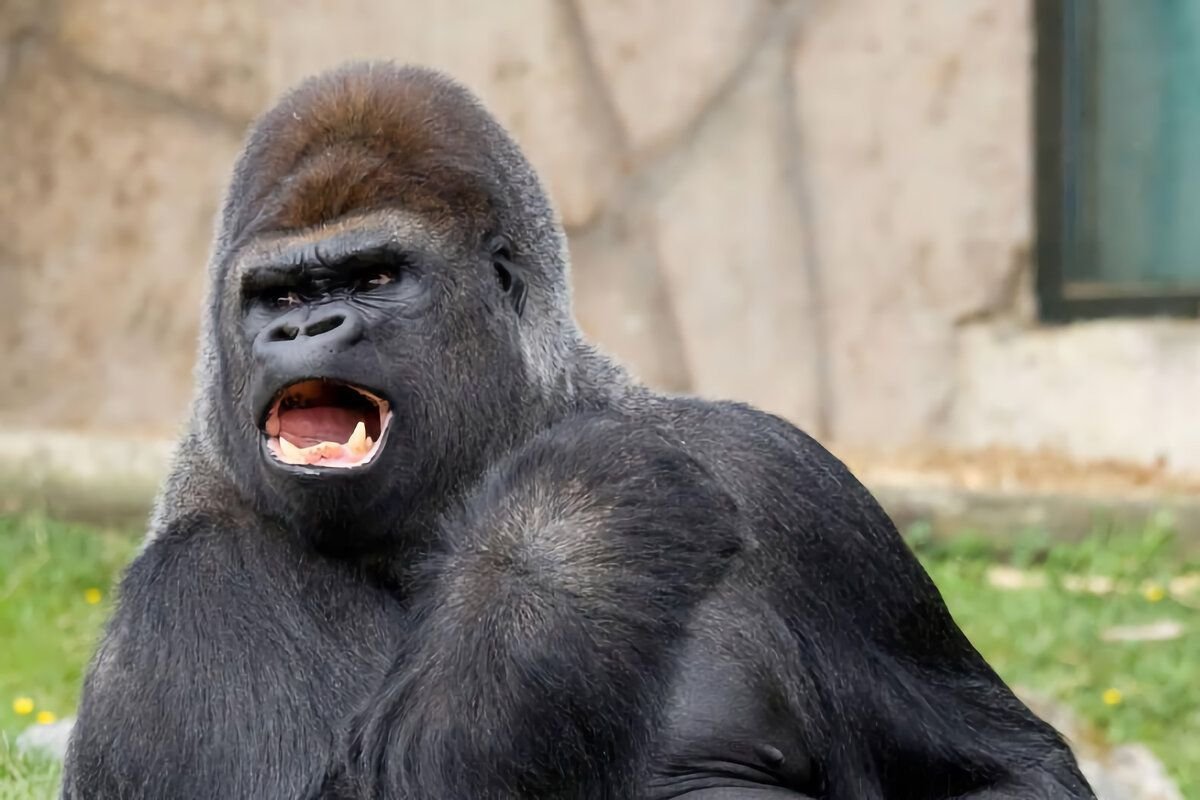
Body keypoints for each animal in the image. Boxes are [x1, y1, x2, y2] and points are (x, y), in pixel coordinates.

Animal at [62, 62, 1095, 800]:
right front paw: (569, 526)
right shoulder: (190, 598)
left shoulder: (794, 487)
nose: (303, 329)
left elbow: (1006, 770)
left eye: (375, 276)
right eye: (276, 297)